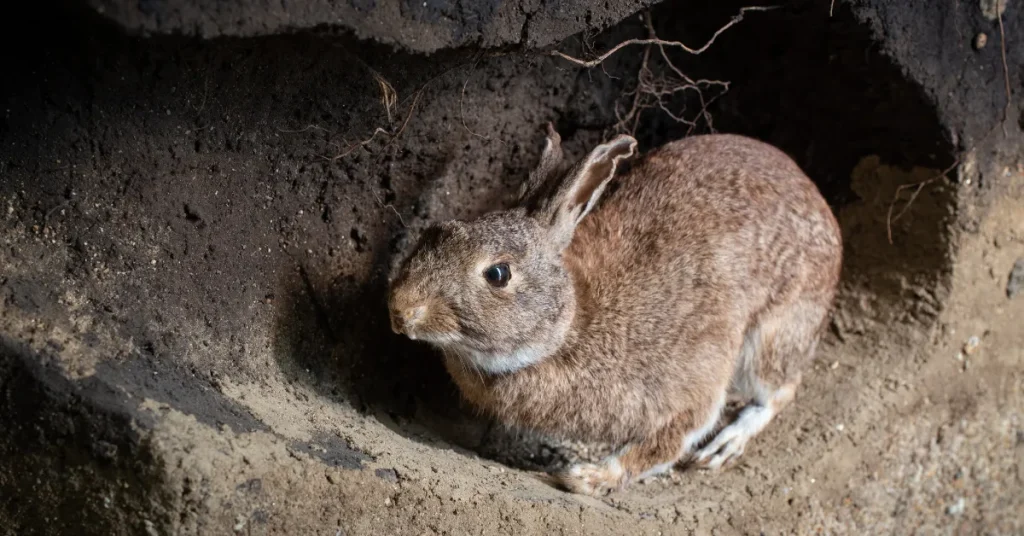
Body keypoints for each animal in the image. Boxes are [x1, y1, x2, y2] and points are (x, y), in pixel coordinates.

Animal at [387, 124, 843, 498]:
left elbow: (668, 440)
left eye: (498, 274)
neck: (570, 323)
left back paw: (726, 443)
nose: (401, 310)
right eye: (437, 233)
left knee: (780, 389)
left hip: (772, 335)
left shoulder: (693, 381)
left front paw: (587, 478)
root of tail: (823, 210)